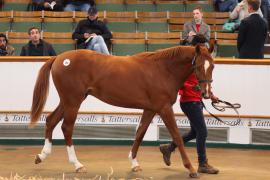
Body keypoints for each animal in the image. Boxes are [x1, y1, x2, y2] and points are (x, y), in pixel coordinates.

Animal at [29, 45, 214, 177]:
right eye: (198, 65)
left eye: (212, 65)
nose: (205, 93)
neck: (162, 70)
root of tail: (59, 58)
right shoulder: (164, 108)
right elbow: (177, 136)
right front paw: (191, 168)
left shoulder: (150, 109)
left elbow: (140, 133)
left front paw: (134, 164)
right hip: (73, 101)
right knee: (66, 128)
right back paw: (78, 165)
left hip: (68, 101)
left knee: (51, 120)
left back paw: (41, 156)